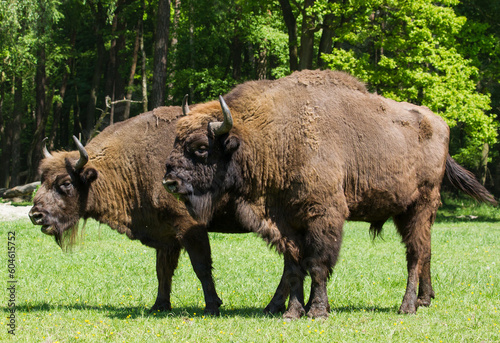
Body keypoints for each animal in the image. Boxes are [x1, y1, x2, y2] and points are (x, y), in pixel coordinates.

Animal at [28, 105, 286, 318]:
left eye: (65, 183)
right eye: (42, 179)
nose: (35, 215)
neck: (132, 160)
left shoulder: (190, 227)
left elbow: (201, 267)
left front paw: (212, 306)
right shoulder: (166, 234)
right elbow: (162, 270)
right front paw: (159, 306)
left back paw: (273, 307)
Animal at [164, 69, 496, 320]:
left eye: (201, 148)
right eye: (176, 140)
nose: (170, 181)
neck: (273, 136)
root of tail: (439, 123)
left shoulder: (323, 215)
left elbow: (318, 263)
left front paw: (317, 311)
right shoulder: (286, 222)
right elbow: (294, 267)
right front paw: (293, 312)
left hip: (419, 207)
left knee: (415, 254)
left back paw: (407, 306)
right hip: (413, 212)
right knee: (425, 251)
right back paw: (424, 300)